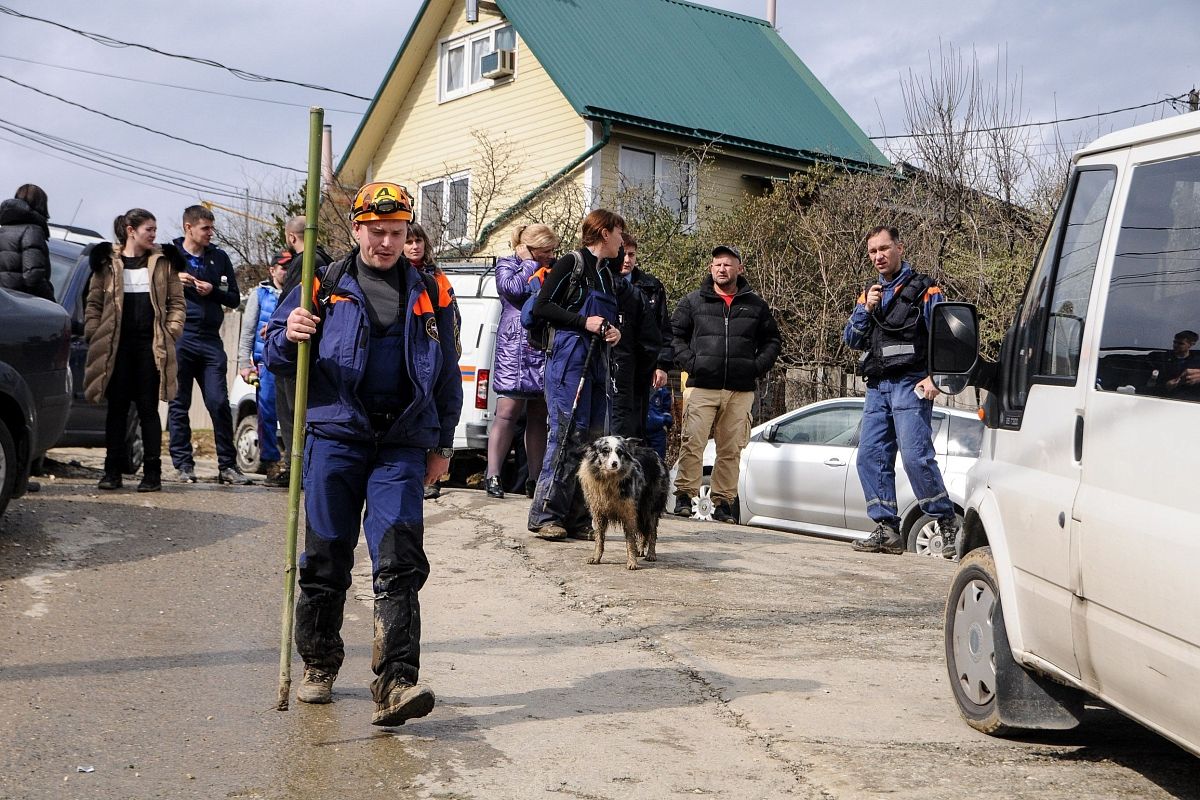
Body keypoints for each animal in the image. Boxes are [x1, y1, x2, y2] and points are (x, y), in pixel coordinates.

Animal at [576, 438, 672, 568]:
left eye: (619, 452)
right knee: (643, 532)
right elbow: (599, 538)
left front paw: (632, 562)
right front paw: (596, 557)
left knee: (652, 531)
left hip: (650, 507)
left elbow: (630, 540)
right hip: (639, 510)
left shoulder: (628, 512)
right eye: (605, 451)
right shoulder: (599, 513)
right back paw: (640, 550)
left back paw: (651, 554)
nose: (614, 463)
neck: (609, 481)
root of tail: (655, 454)